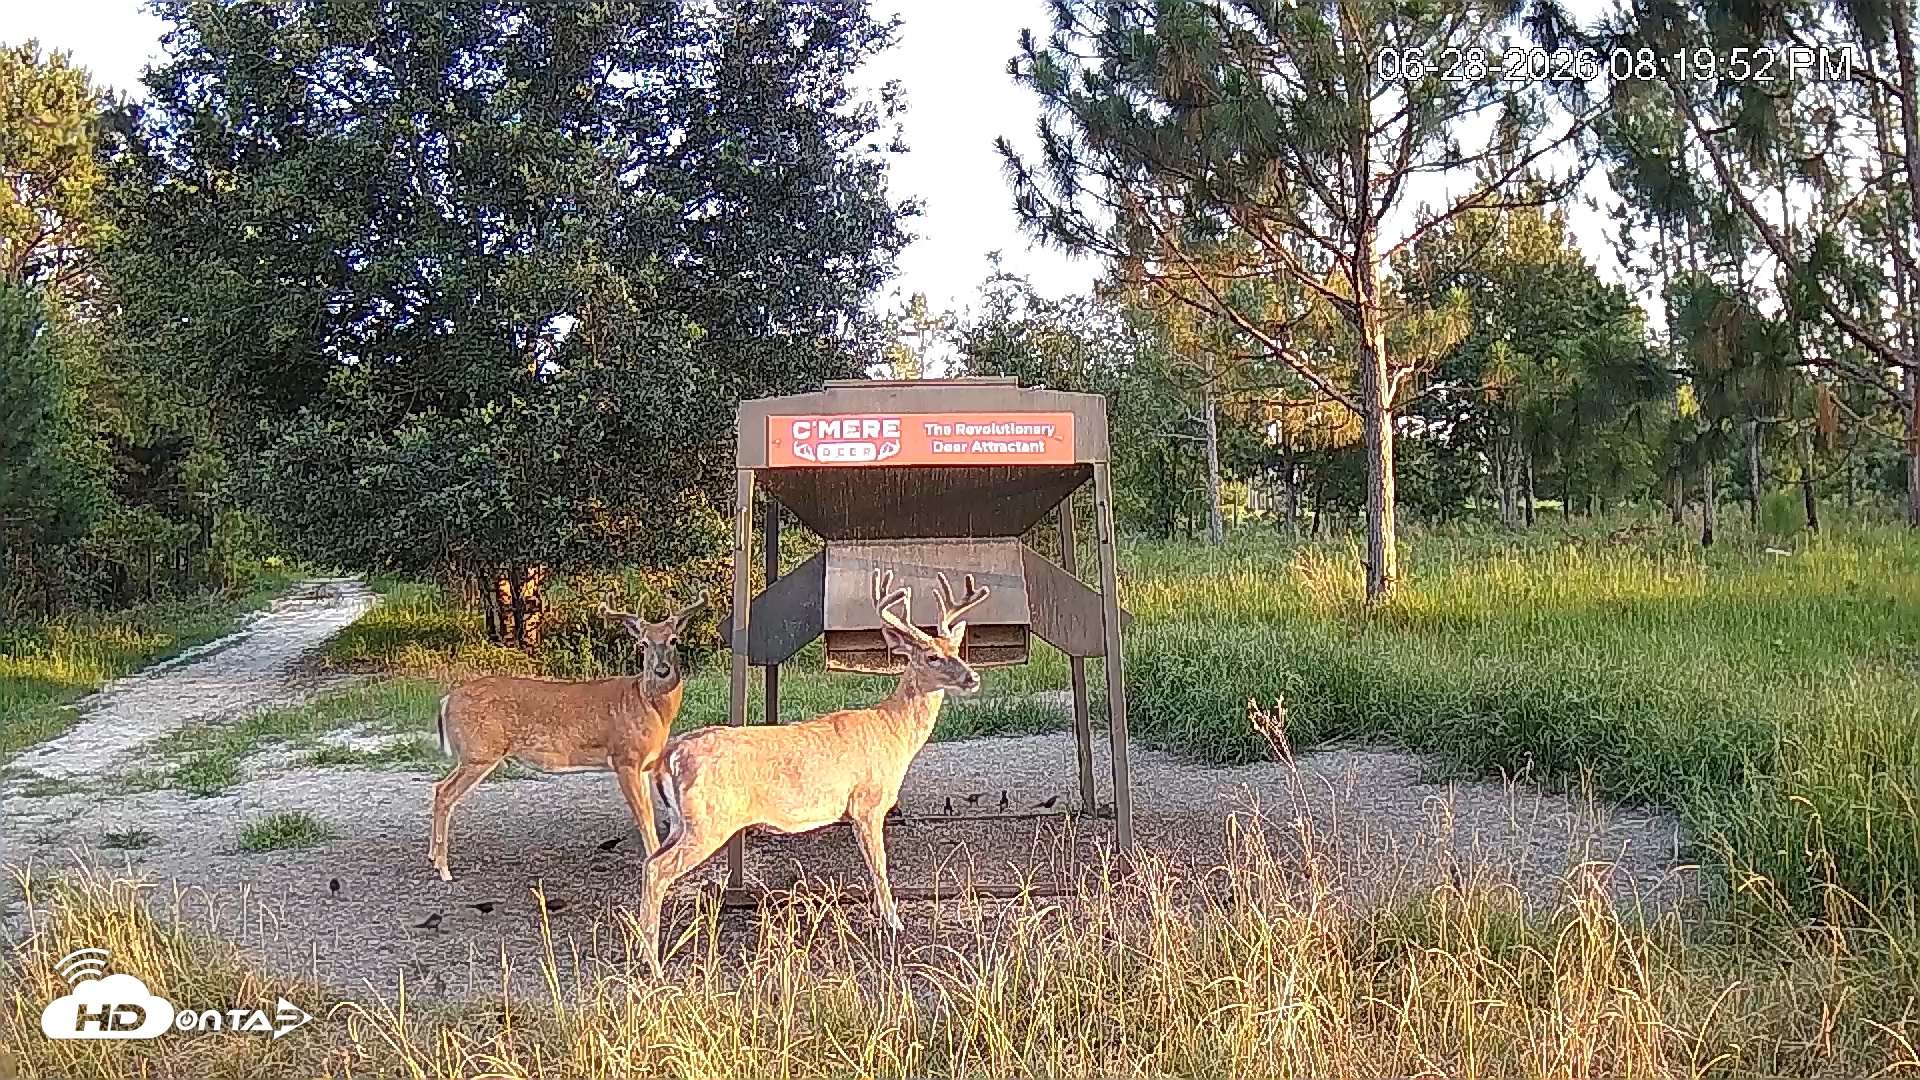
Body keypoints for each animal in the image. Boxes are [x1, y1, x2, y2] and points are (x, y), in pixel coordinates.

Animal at [428, 598, 703, 882]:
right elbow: (645, 819)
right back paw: (444, 869)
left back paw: (434, 859)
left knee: (439, 788)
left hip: (473, 755)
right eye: (643, 643)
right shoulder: (624, 759)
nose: (661, 670)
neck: (648, 705)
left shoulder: (646, 765)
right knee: (445, 793)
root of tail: (447, 700)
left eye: (673, 640)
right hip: (479, 753)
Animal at [632, 568, 989, 973]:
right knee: (658, 870)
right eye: (931, 656)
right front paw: (894, 922)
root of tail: (671, 754)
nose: (972, 678)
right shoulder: (866, 803)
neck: (892, 732)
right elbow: (879, 866)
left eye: (957, 650)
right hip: (709, 821)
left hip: (683, 821)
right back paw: (654, 963)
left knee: (648, 862)